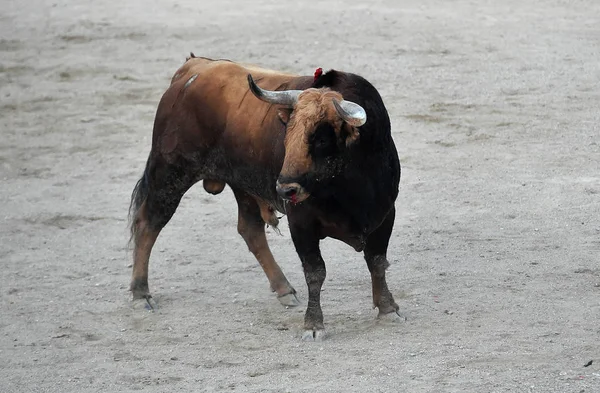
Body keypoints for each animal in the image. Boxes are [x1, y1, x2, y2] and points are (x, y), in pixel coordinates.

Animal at [131, 55, 404, 340]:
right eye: (288, 133)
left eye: (320, 139)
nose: (284, 189)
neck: (348, 186)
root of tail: (194, 67)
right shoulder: (301, 223)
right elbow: (315, 272)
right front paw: (313, 325)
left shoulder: (385, 214)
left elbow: (377, 262)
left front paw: (387, 308)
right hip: (170, 174)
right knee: (148, 223)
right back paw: (141, 293)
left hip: (243, 186)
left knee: (250, 230)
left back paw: (284, 289)